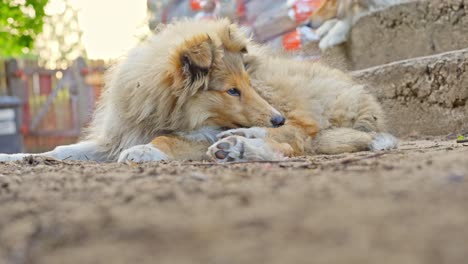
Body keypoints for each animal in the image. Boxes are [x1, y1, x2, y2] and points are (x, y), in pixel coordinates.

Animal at [0, 19, 398, 163]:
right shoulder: (115, 137)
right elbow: (63, 149)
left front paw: (145, 151)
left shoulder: (200, 130)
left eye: (245, 85)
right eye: (231, 91)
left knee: (297, 141)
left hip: (289, 98)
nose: (276, 118)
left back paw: (239, 146)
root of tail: (370, 107)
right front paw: (16, 157)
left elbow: (167, 140)